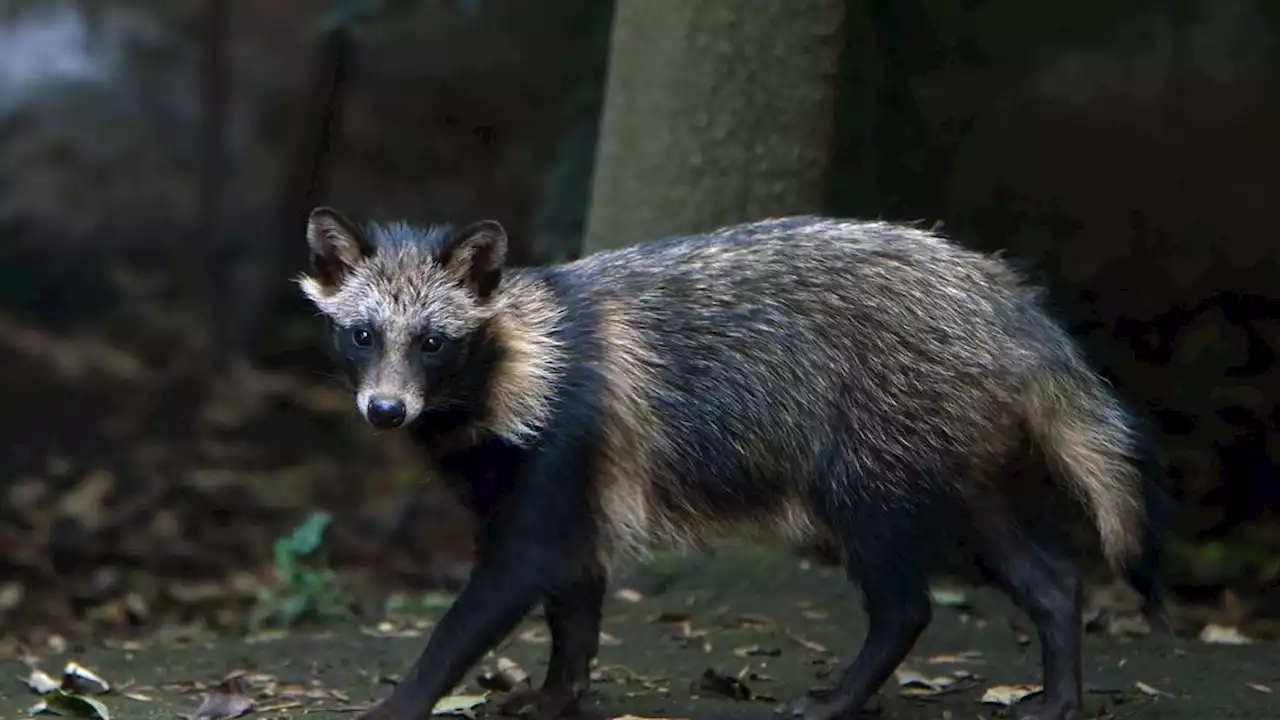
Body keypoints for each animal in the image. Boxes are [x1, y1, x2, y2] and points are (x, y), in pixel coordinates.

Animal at [299, 204, 1172, 717]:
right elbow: (574, 599)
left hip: (871, 452)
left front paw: (407, 698)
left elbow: (495, 596)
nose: (385, 411)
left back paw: (846, 694)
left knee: (903, 601)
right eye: (363, 336)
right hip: (953, 458)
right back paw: (1058, 686)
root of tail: (1004, 298)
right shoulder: (546, 482)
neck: (515, 361)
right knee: (1046, 575)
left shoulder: (563, 451)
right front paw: (558, 692)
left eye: (434, 343)